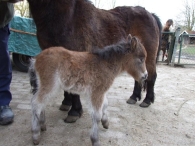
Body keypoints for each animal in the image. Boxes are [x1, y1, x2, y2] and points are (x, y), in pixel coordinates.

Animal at [27, 0, 161, 122]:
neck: (68, 16)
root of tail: (151, 15)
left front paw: (74, 111)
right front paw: (66, 103)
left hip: (148, 58)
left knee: (151, 77)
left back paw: (147, 100)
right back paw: (134, 97)